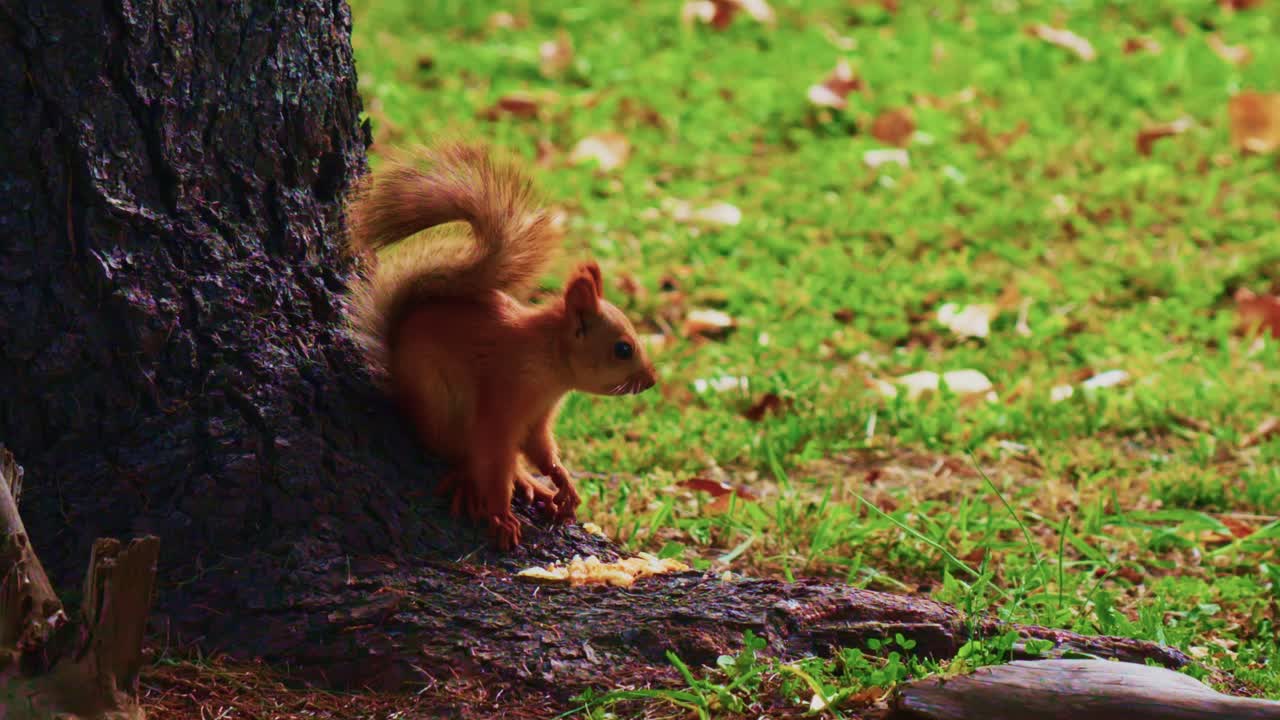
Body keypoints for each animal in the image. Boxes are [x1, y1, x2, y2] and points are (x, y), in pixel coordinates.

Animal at [343, 142, 657, 550]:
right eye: (623, 349)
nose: (651, 380)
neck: (549, 365)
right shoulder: (504, 396)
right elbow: (495, 456)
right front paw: (501, 514)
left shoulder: (538, 418)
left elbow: (541, 450)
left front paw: (563, 483)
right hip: (438, 403)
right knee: (459, 452)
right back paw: (469, 481)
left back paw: (529, 484)